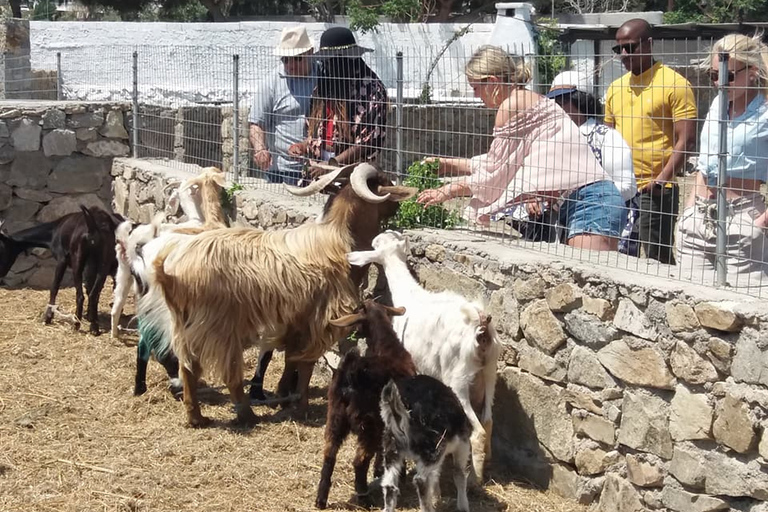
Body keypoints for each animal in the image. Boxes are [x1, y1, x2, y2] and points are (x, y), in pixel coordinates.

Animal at [344, 232, 500, 484]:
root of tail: (481, 326)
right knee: (488, 421)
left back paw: (474, 480)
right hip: (489, 375)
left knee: (478, 431)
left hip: (458, 377)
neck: (409, 294)